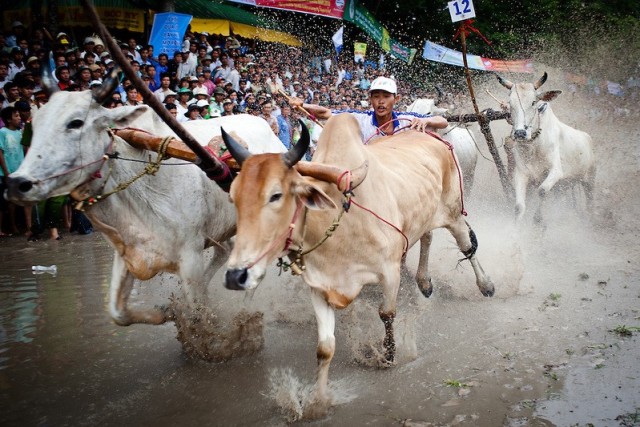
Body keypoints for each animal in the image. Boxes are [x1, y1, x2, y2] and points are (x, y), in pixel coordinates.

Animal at [6, 87, 286, 358]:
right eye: (35, 125)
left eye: (75, 123)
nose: (17, 183)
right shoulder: (128, 254)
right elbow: (119, 313)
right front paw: (167, 311)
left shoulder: (190, 256)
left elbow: (198, 314)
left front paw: (219, 344)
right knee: (224, 252)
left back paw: (244, 315)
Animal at [500, 72, 596, 222]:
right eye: (510, 103)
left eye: (533, 102)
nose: (520, 133)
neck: (533, 146)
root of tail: (587, 137)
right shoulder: (521, 173)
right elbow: (519, 207)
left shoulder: (556, 171)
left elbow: (542, 191)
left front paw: (538, 219)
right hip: (564, 185)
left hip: (589, 181)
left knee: (590, 203)